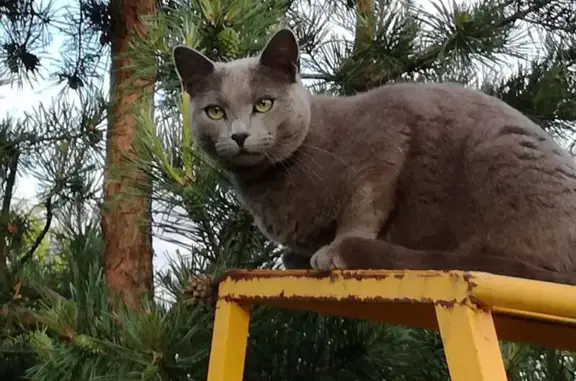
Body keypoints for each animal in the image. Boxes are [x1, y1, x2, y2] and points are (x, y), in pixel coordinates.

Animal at [173, 28, 576, 284]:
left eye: (263, 104)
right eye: (215, 112)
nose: (239, 135)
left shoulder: (385, 140)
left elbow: (363, 206)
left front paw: (333, 251)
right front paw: (301, 256)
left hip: (495, 159)